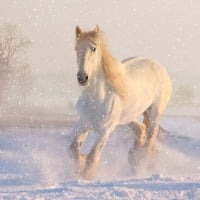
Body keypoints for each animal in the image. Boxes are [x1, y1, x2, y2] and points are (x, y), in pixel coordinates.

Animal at [69, 25, 172, 180]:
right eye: (76, 48)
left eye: (93, 48)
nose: (82, 77)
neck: (97, 99)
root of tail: (158, 66)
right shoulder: (83, 124)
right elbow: (73, 149)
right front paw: (80, 162)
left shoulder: (105, 131)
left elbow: (92, 157)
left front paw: (86, 176)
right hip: (129, 116)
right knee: (141, 129)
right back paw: (133, 157)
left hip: (155, 112)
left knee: (150, 136)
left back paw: (140, 161)